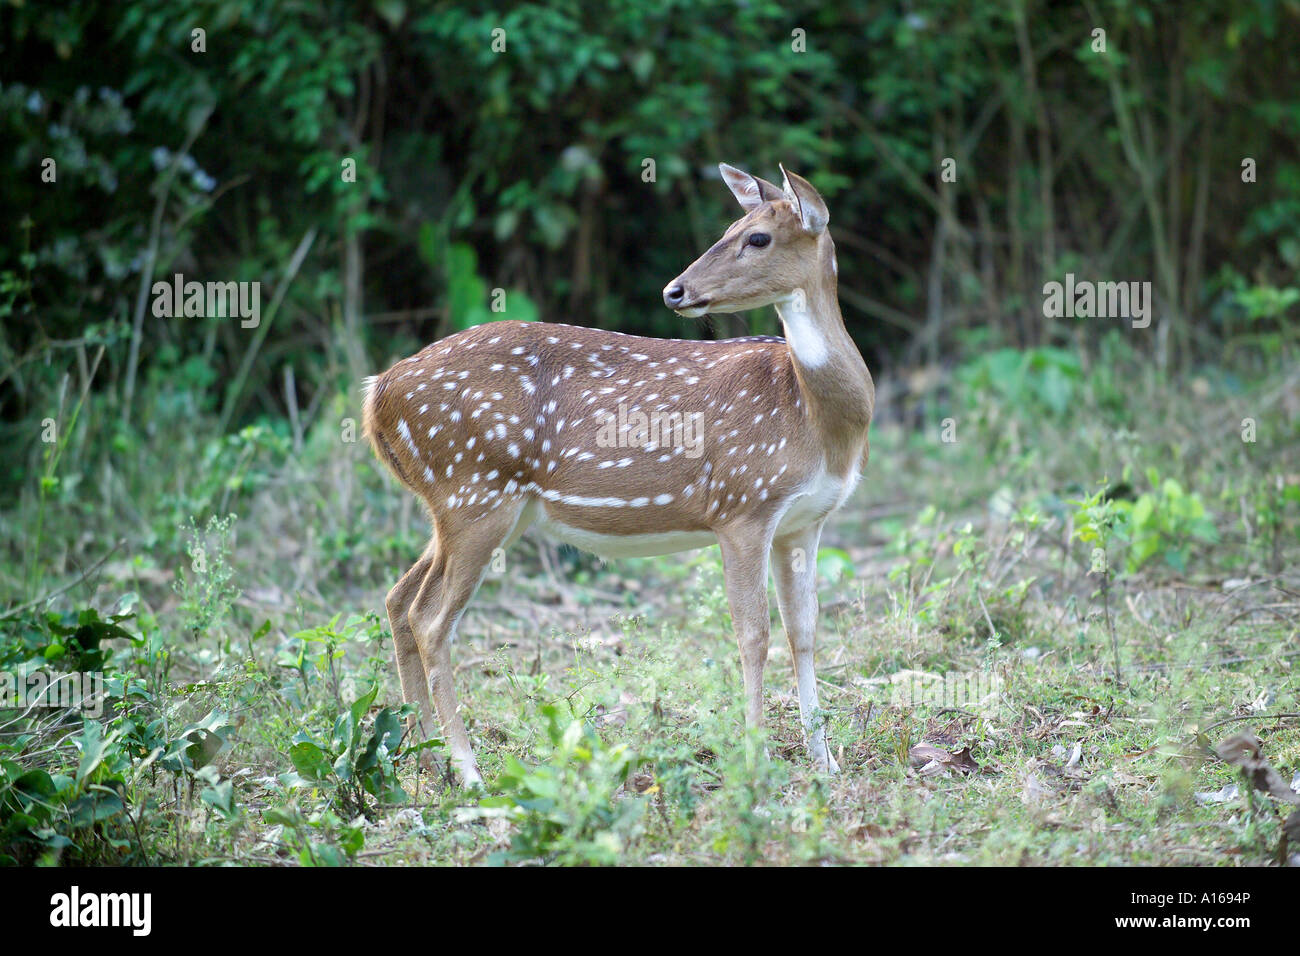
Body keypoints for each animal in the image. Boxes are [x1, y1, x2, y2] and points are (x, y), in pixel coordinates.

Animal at [363, 163, 874, 787]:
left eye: (756, 237)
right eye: (731, 228)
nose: (675, 290)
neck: (814, 418)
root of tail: (377, 394)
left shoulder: (804, 521)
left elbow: (805, 630)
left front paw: (825, 762)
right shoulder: (740, 504)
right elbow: (753, 635)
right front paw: (755, 761)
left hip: (468, 506)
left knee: (397, 598)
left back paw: (422, 763)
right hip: (473, 489)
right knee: (430, 619)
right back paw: (469, 772)